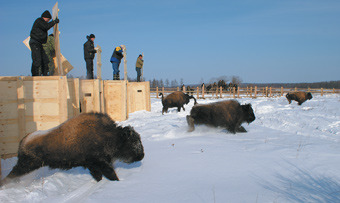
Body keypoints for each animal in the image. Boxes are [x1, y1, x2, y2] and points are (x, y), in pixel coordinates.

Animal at [0, 112, 144, 186]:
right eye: (134, 141)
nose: (141, 155)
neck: (110, 135)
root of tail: (24, 140)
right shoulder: (100, 163)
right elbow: (110, 173)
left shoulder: (92, 165)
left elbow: (98, 175)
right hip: (26, 165)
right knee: (11, 175)